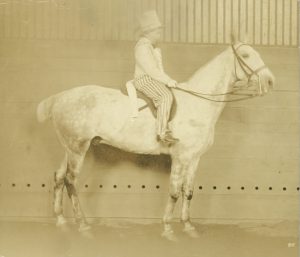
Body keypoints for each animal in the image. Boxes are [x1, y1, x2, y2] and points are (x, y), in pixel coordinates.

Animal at [37, 38, 274, 240]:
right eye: (245, 55)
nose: (270, 80)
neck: (198, 103)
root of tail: (59, 98)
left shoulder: (194, 158)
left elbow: (188, 192)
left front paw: (188, 226)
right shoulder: (180, 158)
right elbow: (174, 192)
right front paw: (168, 229)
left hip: (70, 149)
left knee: (59, 177)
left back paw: (61, 221)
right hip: (78, 149)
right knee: (70, 181)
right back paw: (83, 225)